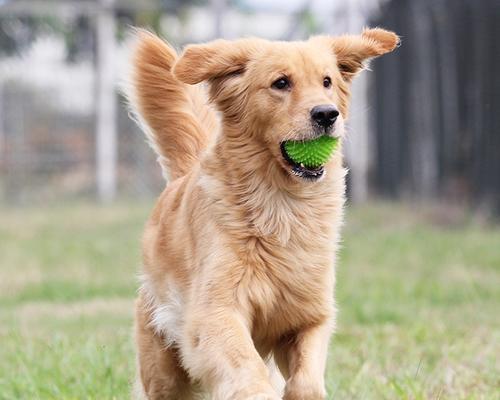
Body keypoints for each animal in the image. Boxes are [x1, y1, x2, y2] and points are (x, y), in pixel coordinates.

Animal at [129, 28, 398, 400]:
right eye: (281, 83)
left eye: (327, 81)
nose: (327, 114)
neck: (283, 205)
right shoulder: (215, 313)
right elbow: (246, 369)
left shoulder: (309, 315)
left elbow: (307, 382)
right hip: (162, 365)